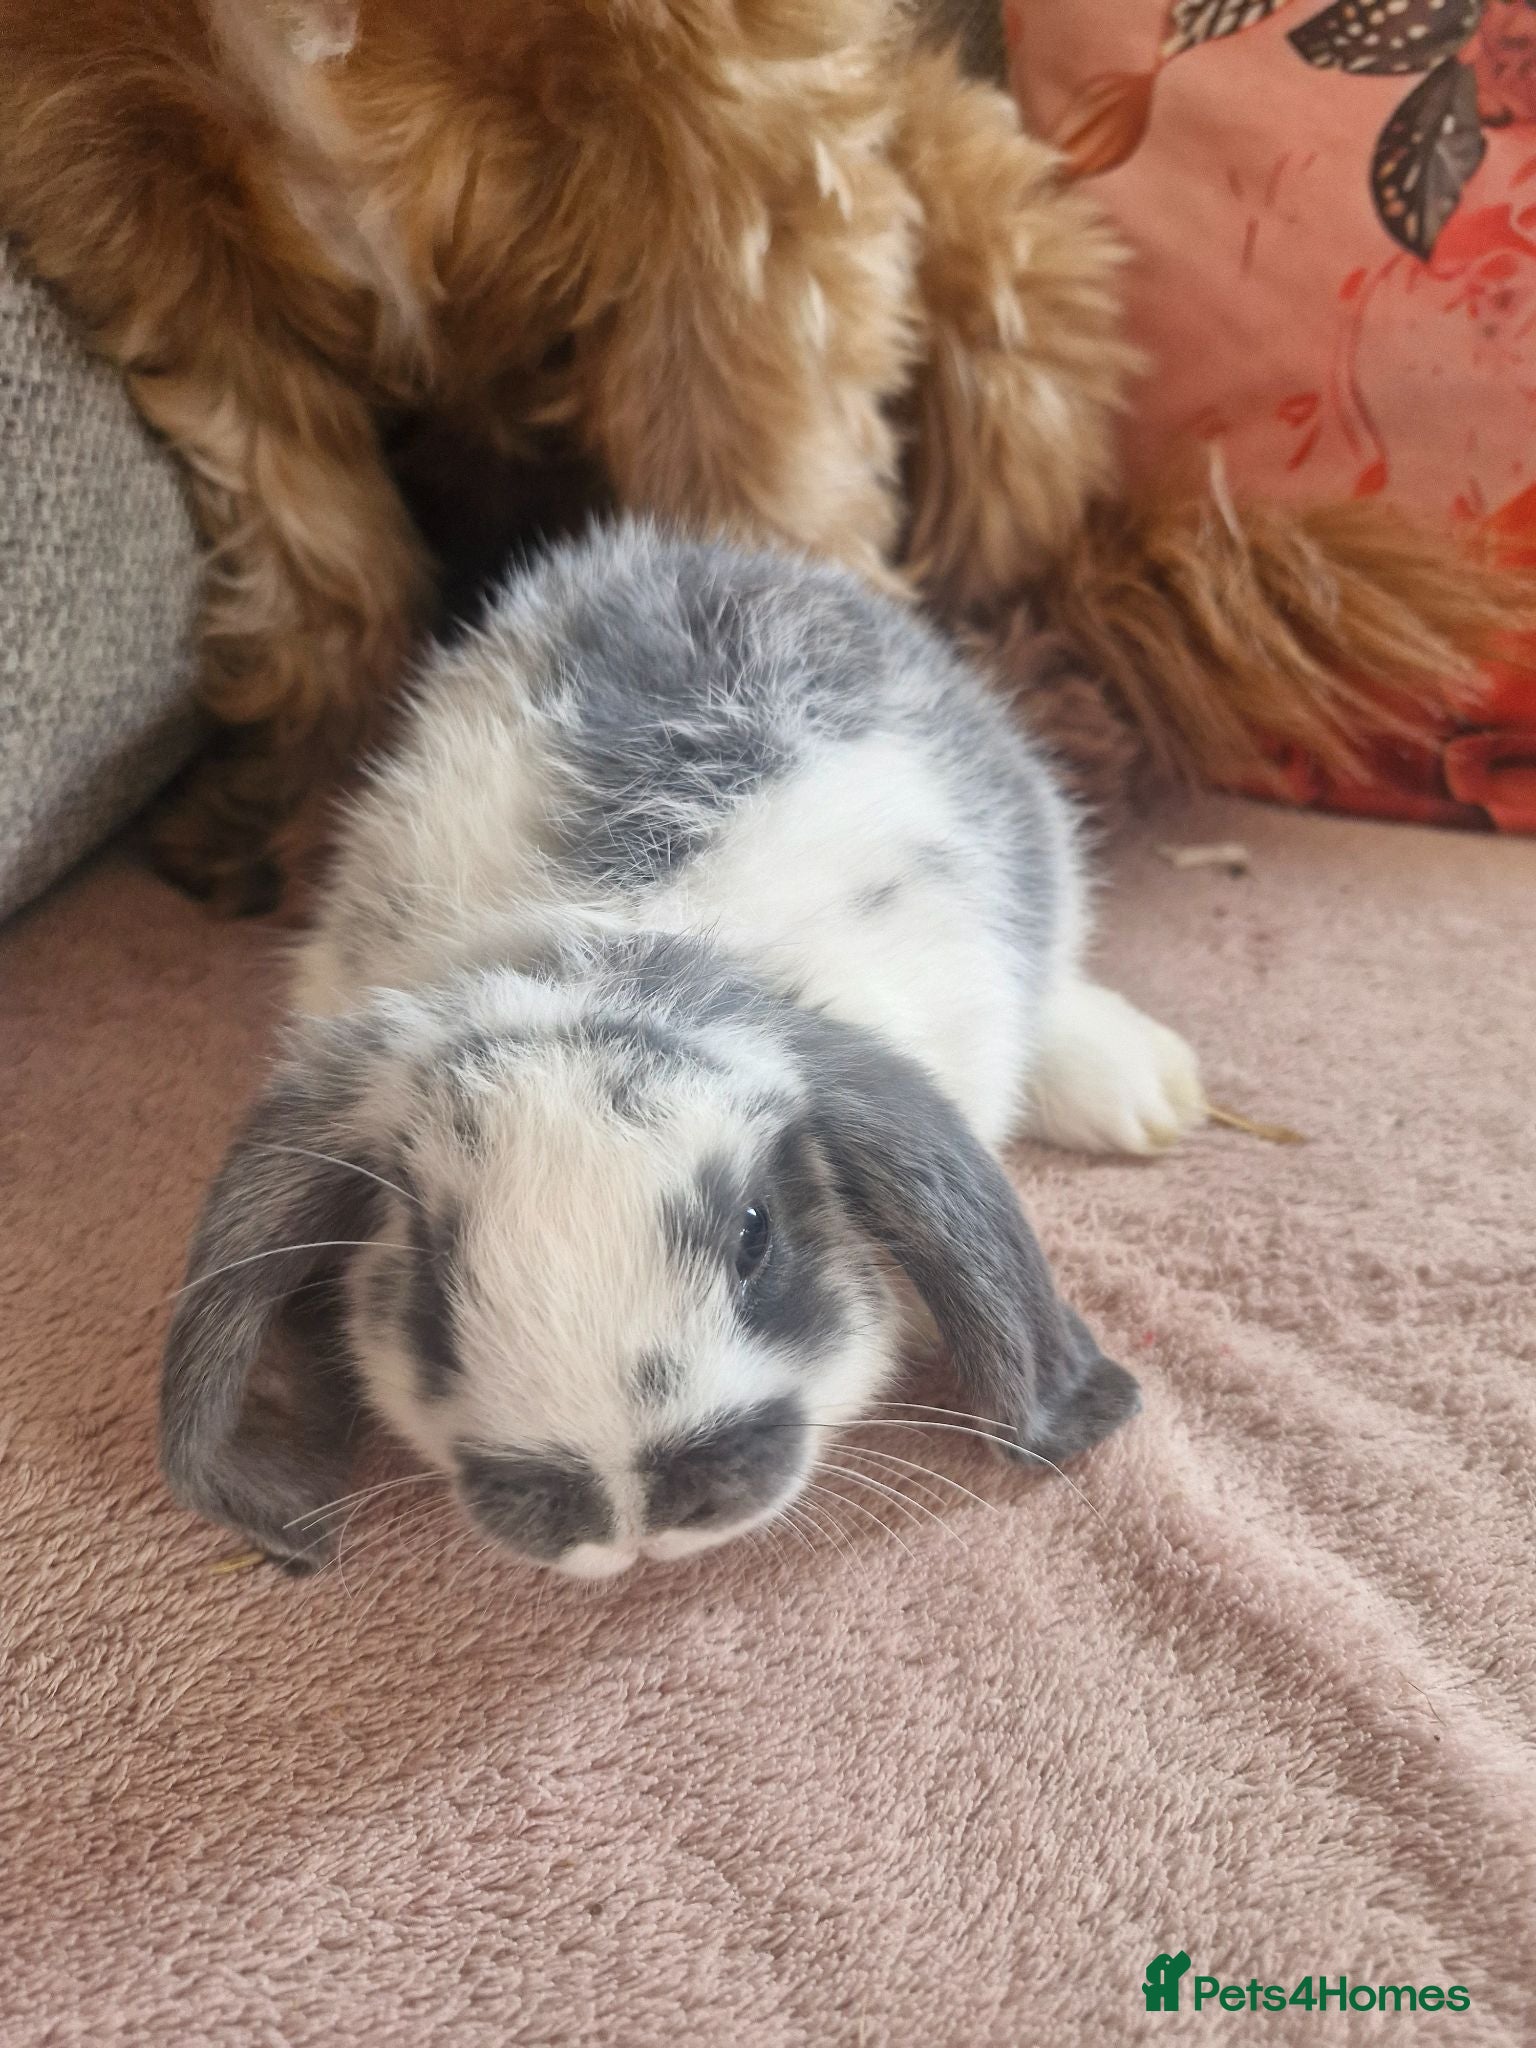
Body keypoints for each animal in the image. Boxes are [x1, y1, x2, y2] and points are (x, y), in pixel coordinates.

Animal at [160, 523, 1204, 1576]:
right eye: (431, 1269)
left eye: (755, 1235)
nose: (627, 1512)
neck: (616, 945)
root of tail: (723, 555)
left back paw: (1153, 1096)